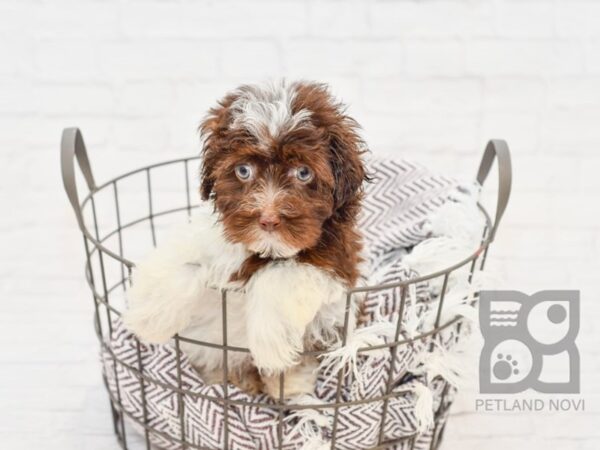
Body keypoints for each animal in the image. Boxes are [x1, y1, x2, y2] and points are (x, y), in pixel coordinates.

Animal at [125, 80, 368, 398]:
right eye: (243, 171)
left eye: (303, 172)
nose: (268, 220)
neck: (264, 250)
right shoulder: (216, 237)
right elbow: (187, 257)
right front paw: (148, 317)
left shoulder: (337, 261)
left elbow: (282, 274)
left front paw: (271, 347)